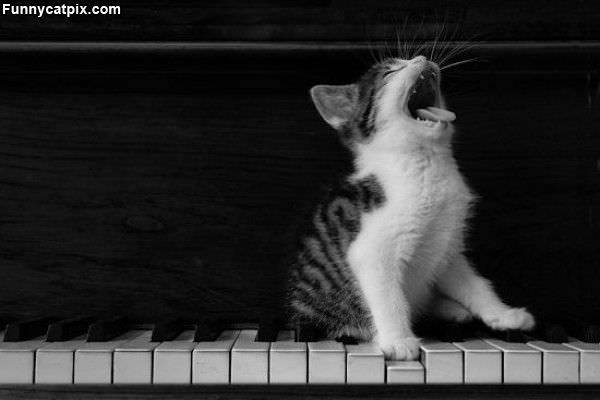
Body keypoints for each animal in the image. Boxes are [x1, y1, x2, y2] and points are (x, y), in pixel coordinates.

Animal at [286, 54, 536, 360]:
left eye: (407, 60)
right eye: (389, 73)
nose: (421, 58)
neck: (426, 163)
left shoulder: (447, 248)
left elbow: (474, 285)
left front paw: (503, 314)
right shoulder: (371, 253)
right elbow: (390, 298)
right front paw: (398, 341)